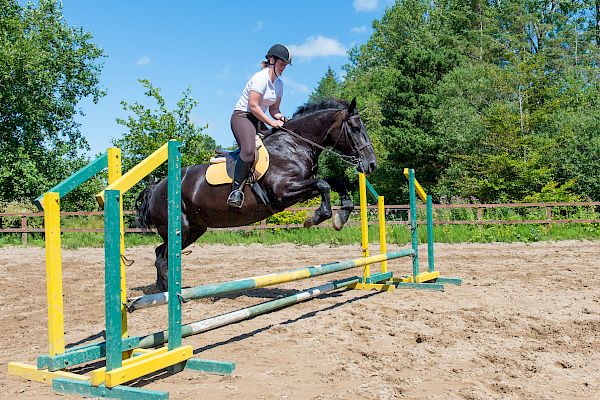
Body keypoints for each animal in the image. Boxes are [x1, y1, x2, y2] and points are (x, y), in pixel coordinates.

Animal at [138, 98, 378, 290]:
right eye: (355, 128)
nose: (371, 165)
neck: (294, 145)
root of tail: (157, 187)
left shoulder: (299, 189)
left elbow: (334, 182)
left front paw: (341, 216)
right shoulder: (284, 191)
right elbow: (324, 185)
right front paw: (317, 218)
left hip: (195, 229)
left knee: (160, 253)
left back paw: (161, 291)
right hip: (181, 227)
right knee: (163, 258)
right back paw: (170, 296)